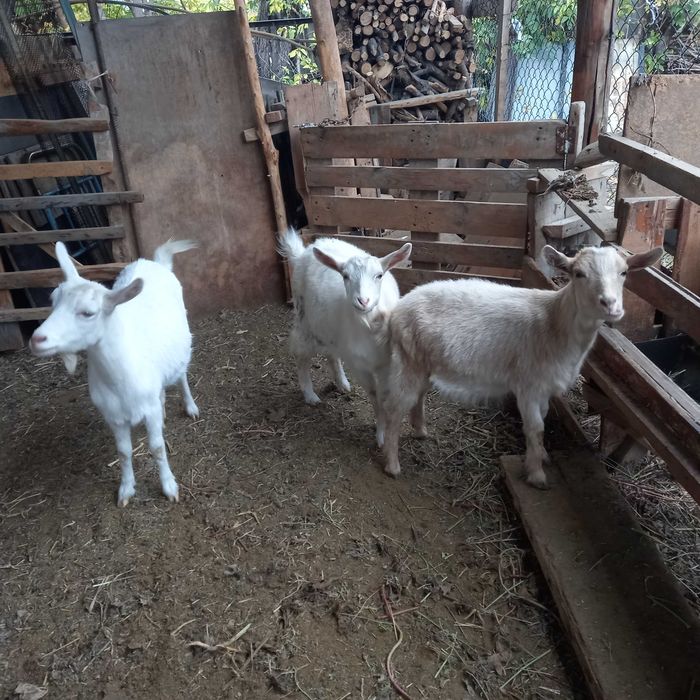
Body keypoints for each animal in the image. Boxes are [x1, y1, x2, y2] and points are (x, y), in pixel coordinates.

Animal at [30, 240, 199, 506]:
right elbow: (123, 452)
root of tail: (155, 263)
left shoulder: (148, 411)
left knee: (181, 375)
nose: (37, 339)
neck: (119, 379)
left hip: (182, 345)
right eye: (53, 300)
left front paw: (169, 486)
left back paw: (190, 406)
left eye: (88, 312)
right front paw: (126, 489)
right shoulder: (113, 416)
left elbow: (157, 447)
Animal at [278, 229, 411, 443]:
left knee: (332, 353)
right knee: (301, 354)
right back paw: (310, 395)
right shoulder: (359, 365)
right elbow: (374, 395)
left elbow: (384, 395)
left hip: (331, 329)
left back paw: (342, 383)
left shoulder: (386, 363)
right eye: (345, 276)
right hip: (304, 318)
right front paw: (381, 435)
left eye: (379, 275)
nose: (363, 301)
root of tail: (303, 253)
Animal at [378, 244, 663, 487]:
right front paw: (536, 474)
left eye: (624, 272)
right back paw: (392, 465)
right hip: (408, 360)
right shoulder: (528, 385)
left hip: (422, 361)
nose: (610, 305)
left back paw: (421, 431)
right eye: (578, 274)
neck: (555, 323)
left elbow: (543, 420)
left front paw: (542, 456)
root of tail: (400, 308)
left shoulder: (544, 387)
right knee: (393, 409)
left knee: (418, 396)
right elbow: (536, 428)